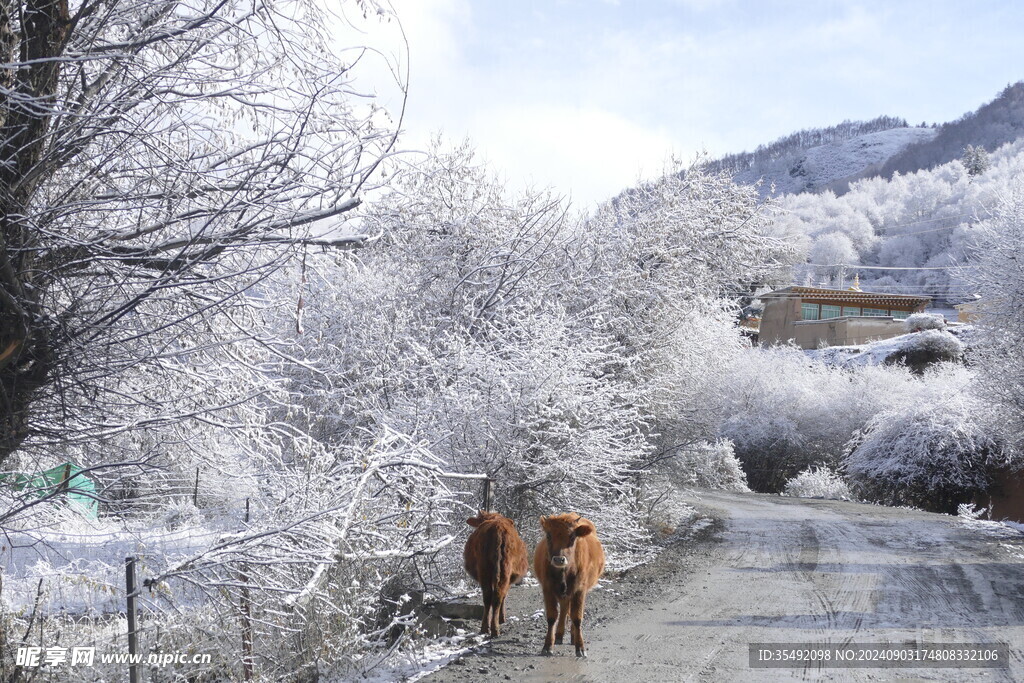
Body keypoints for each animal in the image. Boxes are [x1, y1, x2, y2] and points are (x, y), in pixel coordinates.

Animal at [464, 509, 528, 638]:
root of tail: (498, 527)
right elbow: (504, 595)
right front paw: (502, 618)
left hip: (485, 570)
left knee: (488, 596)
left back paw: (486, 628)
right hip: (504, 571)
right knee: (497, 596)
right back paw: (495, 628)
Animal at [532, 511, 602, 655]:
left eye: (572, 536)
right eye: (548, 535)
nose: (559, 559)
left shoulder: (580, 590)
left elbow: (577, 618)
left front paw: (580, 648)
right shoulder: (548, 589)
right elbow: (552, 617)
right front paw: (548, 646)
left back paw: (573, 636)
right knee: (564, 608)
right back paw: (559, 635)